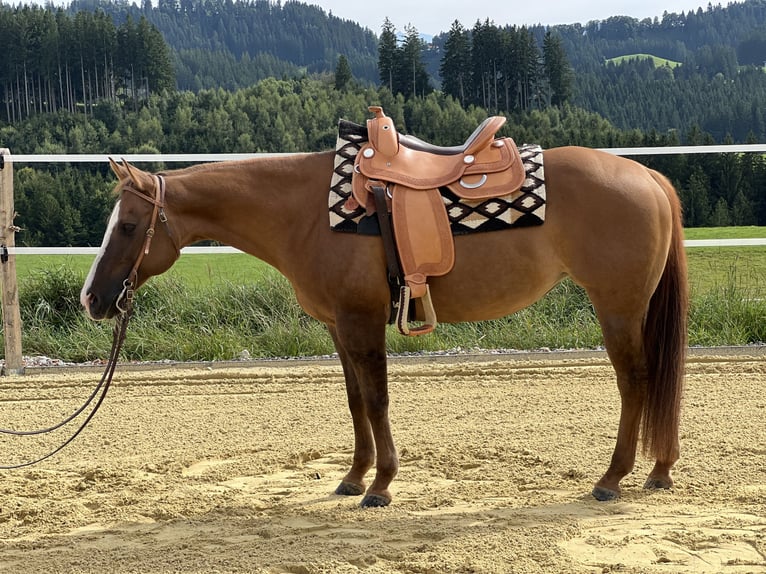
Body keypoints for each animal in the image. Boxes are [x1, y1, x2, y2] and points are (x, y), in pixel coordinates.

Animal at [80, 142, 688, 508]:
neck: (306, 212)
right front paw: (353, 477)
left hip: (617, 307)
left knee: (636, 380)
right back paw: (658, 470)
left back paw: (612, 479)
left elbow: (377, 400)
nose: (93, 298)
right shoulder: (338, 326)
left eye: (129, 225)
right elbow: (355, 402)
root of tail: (648, 174)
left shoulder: (362, 320)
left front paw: (382, 485)